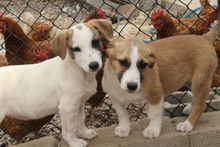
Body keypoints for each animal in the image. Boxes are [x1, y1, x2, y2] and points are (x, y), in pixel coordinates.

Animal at [0, 19, 113, 147]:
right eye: (76, 49)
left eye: (95, 42)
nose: (94, 65)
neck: (78, 71)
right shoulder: (67, 107)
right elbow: (69, 130)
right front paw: (74, 142)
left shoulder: (79, 103)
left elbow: (80, 120)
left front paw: (85, 133)